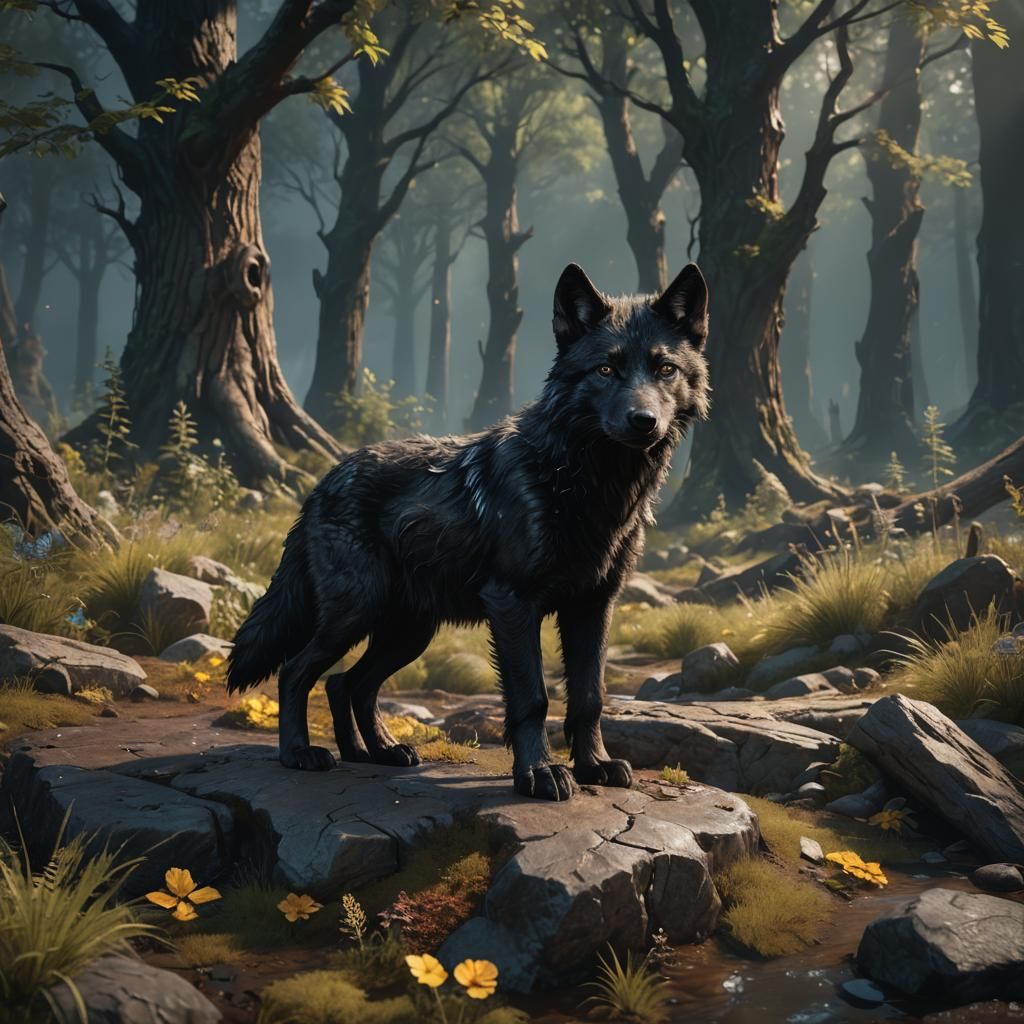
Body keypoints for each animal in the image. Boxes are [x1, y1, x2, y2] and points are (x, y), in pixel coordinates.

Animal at [227, 262, 710, 801]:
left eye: (665, 369)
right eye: (606, 370)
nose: (643, 420)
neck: (586, 480)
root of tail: (321, 482)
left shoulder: (593, 606)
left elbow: (590, 696)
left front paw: (594, 766)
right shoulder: (513, 603)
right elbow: (533, 697)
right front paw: (539, 773)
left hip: (409, 633)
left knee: (346, 683)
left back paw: (374, 752)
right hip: (356, 613)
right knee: (297, 671)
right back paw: (299, 754)